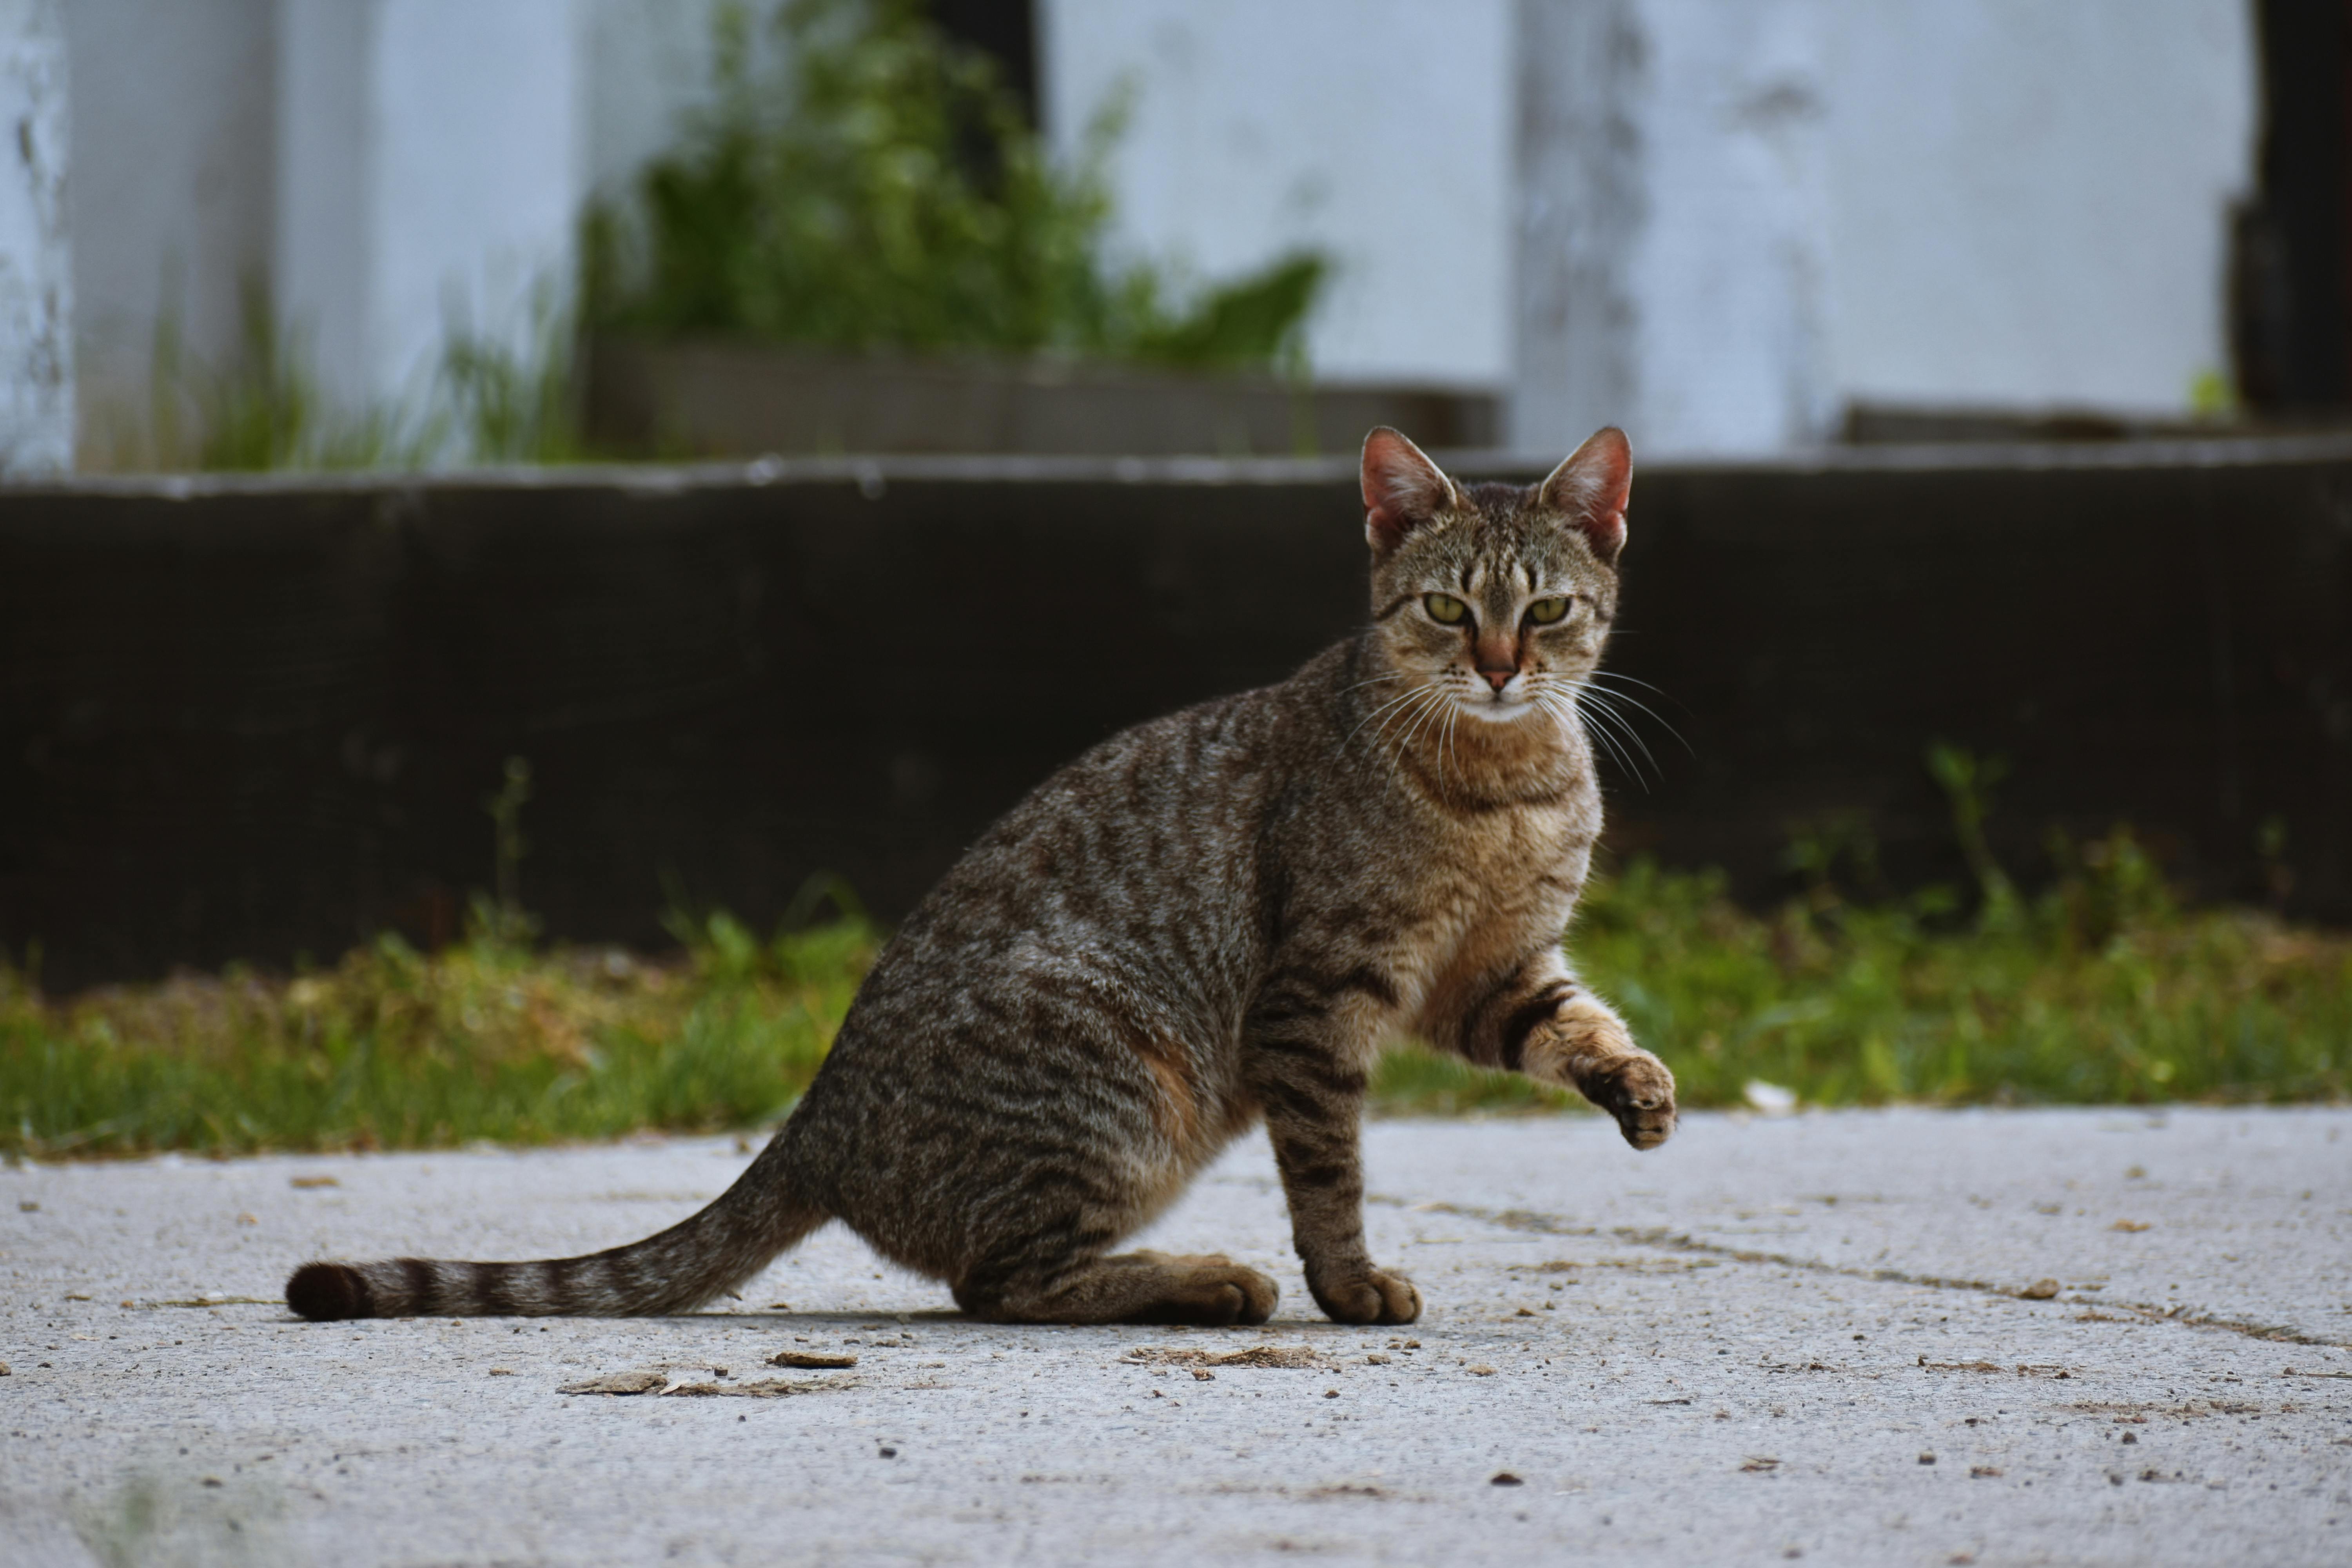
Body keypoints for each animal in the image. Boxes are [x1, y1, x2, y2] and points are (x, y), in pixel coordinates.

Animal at [289, 425, 1675, 1326]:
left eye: (1546, 611)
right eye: (1446, 611)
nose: (1498, 666)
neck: (1505, 783)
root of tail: (817, 1116)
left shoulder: (1485, 972)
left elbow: (1572, 1025)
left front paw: (1636, 1084)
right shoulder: (1320, 992)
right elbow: (1329, 1172)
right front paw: (1347, 1285)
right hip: (1123, 1083)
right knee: (999, 1284)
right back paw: (1207, 1284)